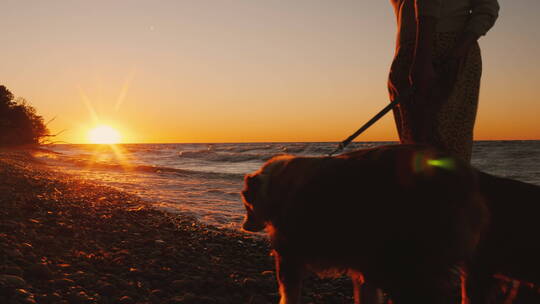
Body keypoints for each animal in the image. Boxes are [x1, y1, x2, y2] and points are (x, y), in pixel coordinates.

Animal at [243, 145, 488, 304]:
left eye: (246, 202)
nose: (244, 225)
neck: (274, 185)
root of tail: (468, 176)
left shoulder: (289, 255)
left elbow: (288, 292)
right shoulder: (362, 263)